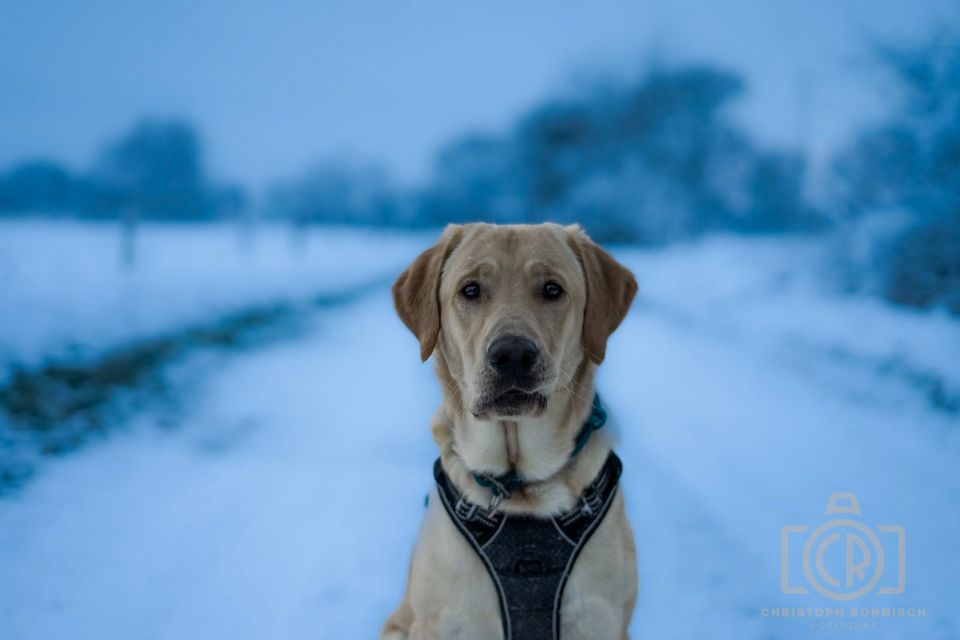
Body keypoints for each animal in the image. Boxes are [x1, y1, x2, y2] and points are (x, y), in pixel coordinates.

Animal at [382, 222, 636, 636]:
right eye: (470, 290)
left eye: (552, 289)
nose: (513, 354)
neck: (520, 486)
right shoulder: (441, 622)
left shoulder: (600, 619)